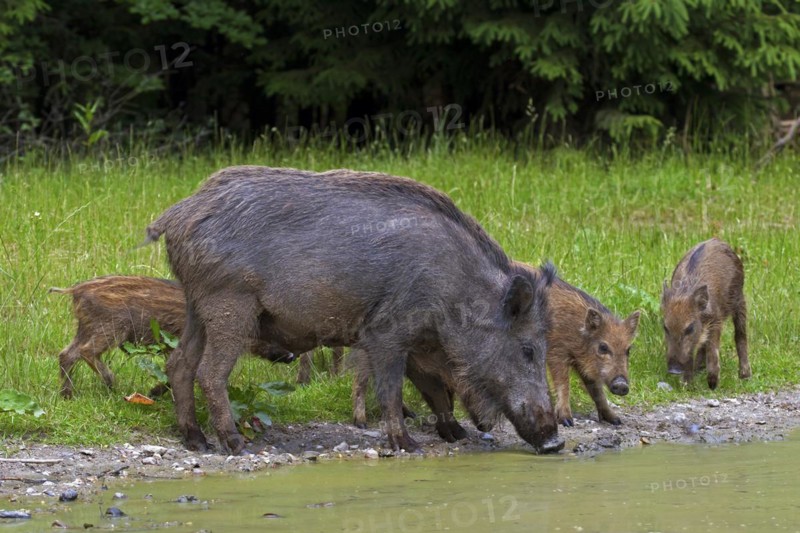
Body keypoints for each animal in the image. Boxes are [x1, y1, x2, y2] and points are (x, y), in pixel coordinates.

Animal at [51, 275, 295, 398]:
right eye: (267, 333)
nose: (292, 356)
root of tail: (75, 291)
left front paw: (154, 392)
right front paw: (154, 392)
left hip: (86, 327)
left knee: (66, 353)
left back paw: (67, 395)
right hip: (110, 327)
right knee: (85, 351)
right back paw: (111, 383)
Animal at [145, 165, 563, 455]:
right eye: (528, 349)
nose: (556, 443)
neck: (455, 292)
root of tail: (176, 214)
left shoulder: (420, 345)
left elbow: (433, 389)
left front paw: (453, 434)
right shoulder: (388, 332)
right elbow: (392, 390)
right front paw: (407, 445)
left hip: (197, 306)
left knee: (179, 364)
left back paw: (196, 441)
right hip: (230, 304)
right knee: (209, 373)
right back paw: (235, 444)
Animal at [661, 238, 750, 389]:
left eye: (690, 328)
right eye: (665, 327)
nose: (673, 370)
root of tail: (717, 240)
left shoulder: (717, 320)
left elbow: (713, 347)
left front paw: (713, 384)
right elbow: (694, 349)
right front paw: (687, 385)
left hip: (740, 300)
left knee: (740, 335)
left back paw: (745, 375)